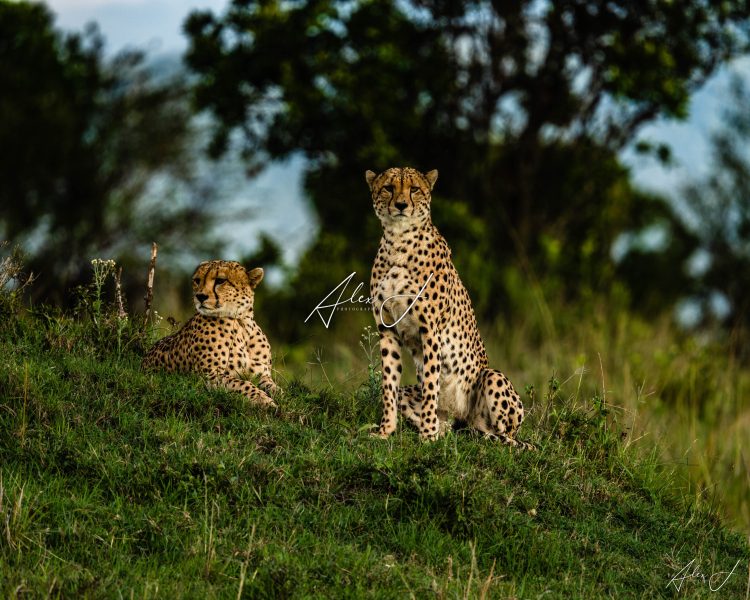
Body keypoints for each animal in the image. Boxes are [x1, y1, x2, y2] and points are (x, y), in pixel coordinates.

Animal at [143, 258, 280, 408]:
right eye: (197, 280)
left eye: (220, 280)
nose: (200, 296)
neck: (241, 323)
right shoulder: (208, 375)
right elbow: (242, 384)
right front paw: (263, 400)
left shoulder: (262, 374)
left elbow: (276, 387)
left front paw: (277, 394)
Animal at [366, 166, 536, 448]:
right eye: (388, 188)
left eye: (414, 189)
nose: (401, 205)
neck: (398, 240)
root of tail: (465, 420)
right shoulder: (387, 329)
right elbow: (388, 384)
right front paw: (385, 431)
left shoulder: (430, 331)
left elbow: (431, 385)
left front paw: (426, 436)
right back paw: (442, 430)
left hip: (492, 377)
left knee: (505, 436)